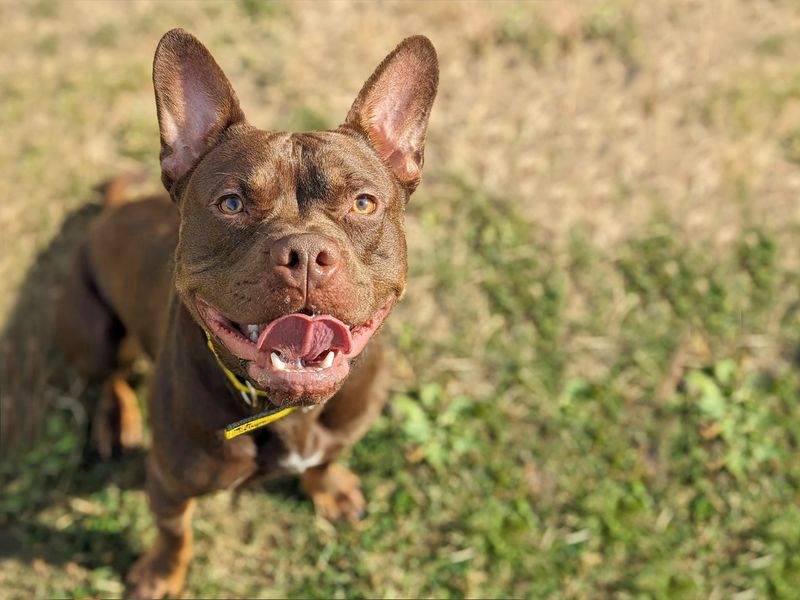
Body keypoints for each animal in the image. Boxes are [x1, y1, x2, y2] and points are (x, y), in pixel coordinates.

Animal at [54, 30, 438, 596]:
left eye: (364, 204)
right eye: (231, 204)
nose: (305, 252)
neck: (287, 408)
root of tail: (111, 212)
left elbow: (327, 458)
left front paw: (328, 487)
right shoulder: (167, 483)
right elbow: (174, 533)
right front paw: (161, 573)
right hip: (95, 330)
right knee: (109, 376)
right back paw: (115, 418)